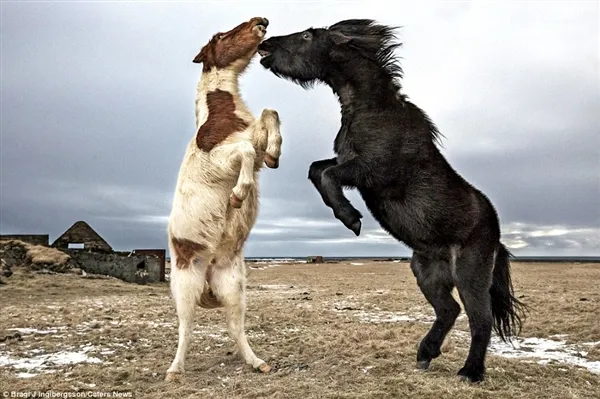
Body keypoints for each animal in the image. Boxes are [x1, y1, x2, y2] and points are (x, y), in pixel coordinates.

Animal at [165, 17, 282, 382]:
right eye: (220, 36)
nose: (262, 21)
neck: (219, 119)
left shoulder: (254, 136)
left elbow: (270, 115)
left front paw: (275, 154)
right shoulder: (221, 159)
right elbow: (245, 151)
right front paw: (238, 195)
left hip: (233, 288)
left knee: (234, 328)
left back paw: (257, 362)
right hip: (185, 287)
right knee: (186, 328)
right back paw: (174, 370)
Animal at [258, 20, 524, 382]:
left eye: (307, 35)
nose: (264, 45)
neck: (372, 110)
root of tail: (496, 234)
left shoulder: (370, 172)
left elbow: (327, 176)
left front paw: (351, 218)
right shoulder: (347, 163)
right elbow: (317, 171)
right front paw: (347, 214)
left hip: (470, 274)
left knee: (479, 320)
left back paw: (470, 372)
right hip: (425, 271)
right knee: (449, 310)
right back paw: (426, 354)